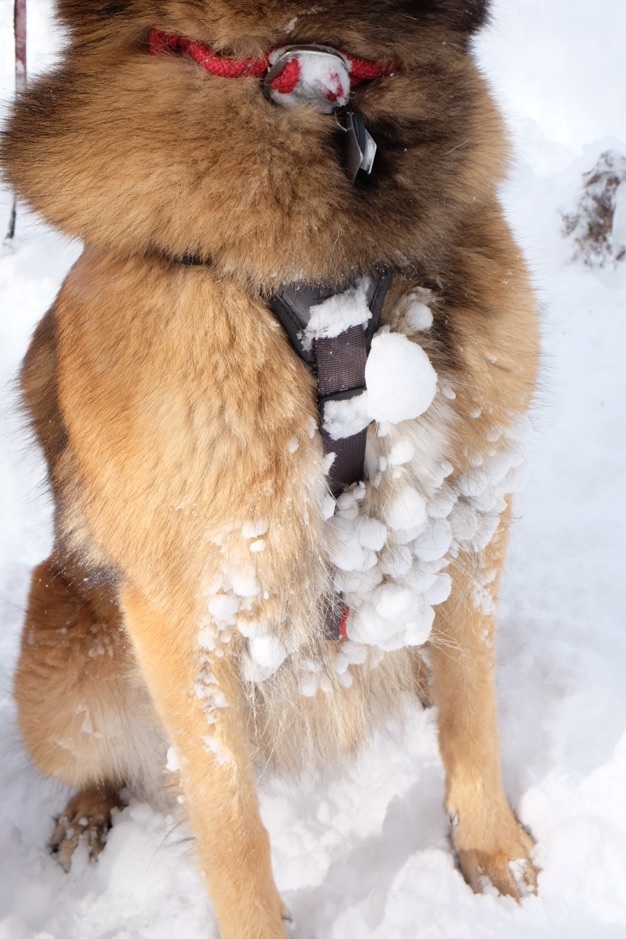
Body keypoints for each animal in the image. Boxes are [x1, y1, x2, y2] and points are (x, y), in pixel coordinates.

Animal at [0, 1, 536, 932]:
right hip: (65, 672)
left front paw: (490, 844)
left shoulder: (470, 504)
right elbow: (229, 820)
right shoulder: (184, 605)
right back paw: (88, 814)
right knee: (115, 760)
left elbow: (474, 705)